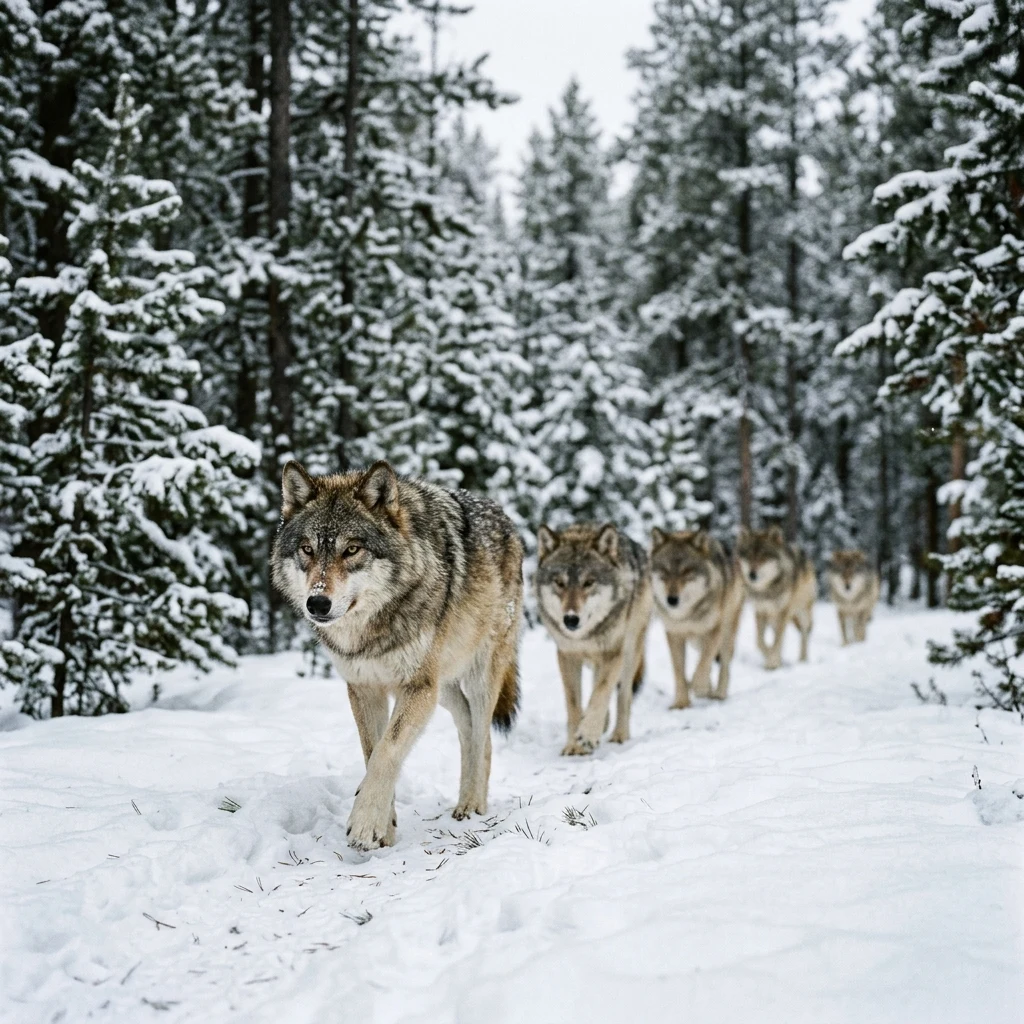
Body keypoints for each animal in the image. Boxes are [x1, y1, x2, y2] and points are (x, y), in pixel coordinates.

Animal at [271, 460, 523, 850]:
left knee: (483, 739)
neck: (371, 631)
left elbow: (387, 752)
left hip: (478, 675)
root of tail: (504, 516)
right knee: (467, 727)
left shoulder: (417, 687)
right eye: (307, 549)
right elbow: (372, 751)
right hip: (444, 688)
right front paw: (385, 829)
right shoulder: (364, 688)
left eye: (352, 549)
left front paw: (365, 824)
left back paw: (472, 805)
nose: (317, 603)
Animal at [534, 523, 651, 755]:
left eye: (588, 583)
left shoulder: (614, 654)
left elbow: (601, 693)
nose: (570, 619)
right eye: (559, 583)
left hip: (630, 652)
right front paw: (573, 745)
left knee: (623, 696)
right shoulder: (567, 657)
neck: (585, 636)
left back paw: (619, 735)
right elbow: (574, 705)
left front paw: (588, 735)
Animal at [649, 528, 745, 705]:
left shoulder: (715, 630)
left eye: (686, 571)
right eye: (665, 571)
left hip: (726, 633)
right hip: (698, 641)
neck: (688, 615)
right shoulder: (674, 634)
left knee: (723, 665)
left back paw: (718, 694)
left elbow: (703, 664)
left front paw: (700, 688)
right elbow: (679, 672)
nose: (672, 600)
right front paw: (681, 703)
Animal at [736, 526, 816, 670]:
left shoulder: (783, 612)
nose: (752, 574)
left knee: (804, 634)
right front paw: (772, 660)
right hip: (773, 619)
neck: (767, 590)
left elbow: (777, 640)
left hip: (802, 613)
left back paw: (803, 659)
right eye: (749, 556)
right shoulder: (761, 611)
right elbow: (760, 641)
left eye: (763, 557)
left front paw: (772, 662)